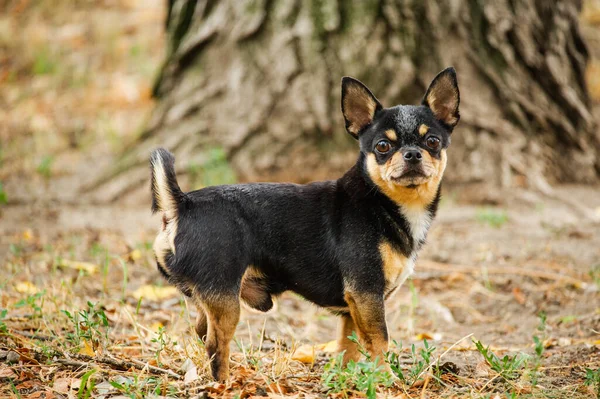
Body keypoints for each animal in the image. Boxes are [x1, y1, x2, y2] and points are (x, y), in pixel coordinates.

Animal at [150, 68, 460, 382]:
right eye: (383, 146)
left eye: (432, 142)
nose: (412, 154)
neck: (384, 202)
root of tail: (183, 204)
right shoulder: (367, 293)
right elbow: (379, 340)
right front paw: (386, 379)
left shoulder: (354, 306)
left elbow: (349, 346)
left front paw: (349, 380)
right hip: (225, 297)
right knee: (216, 344)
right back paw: (224, 383)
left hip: (210, 297)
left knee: (202, 331)